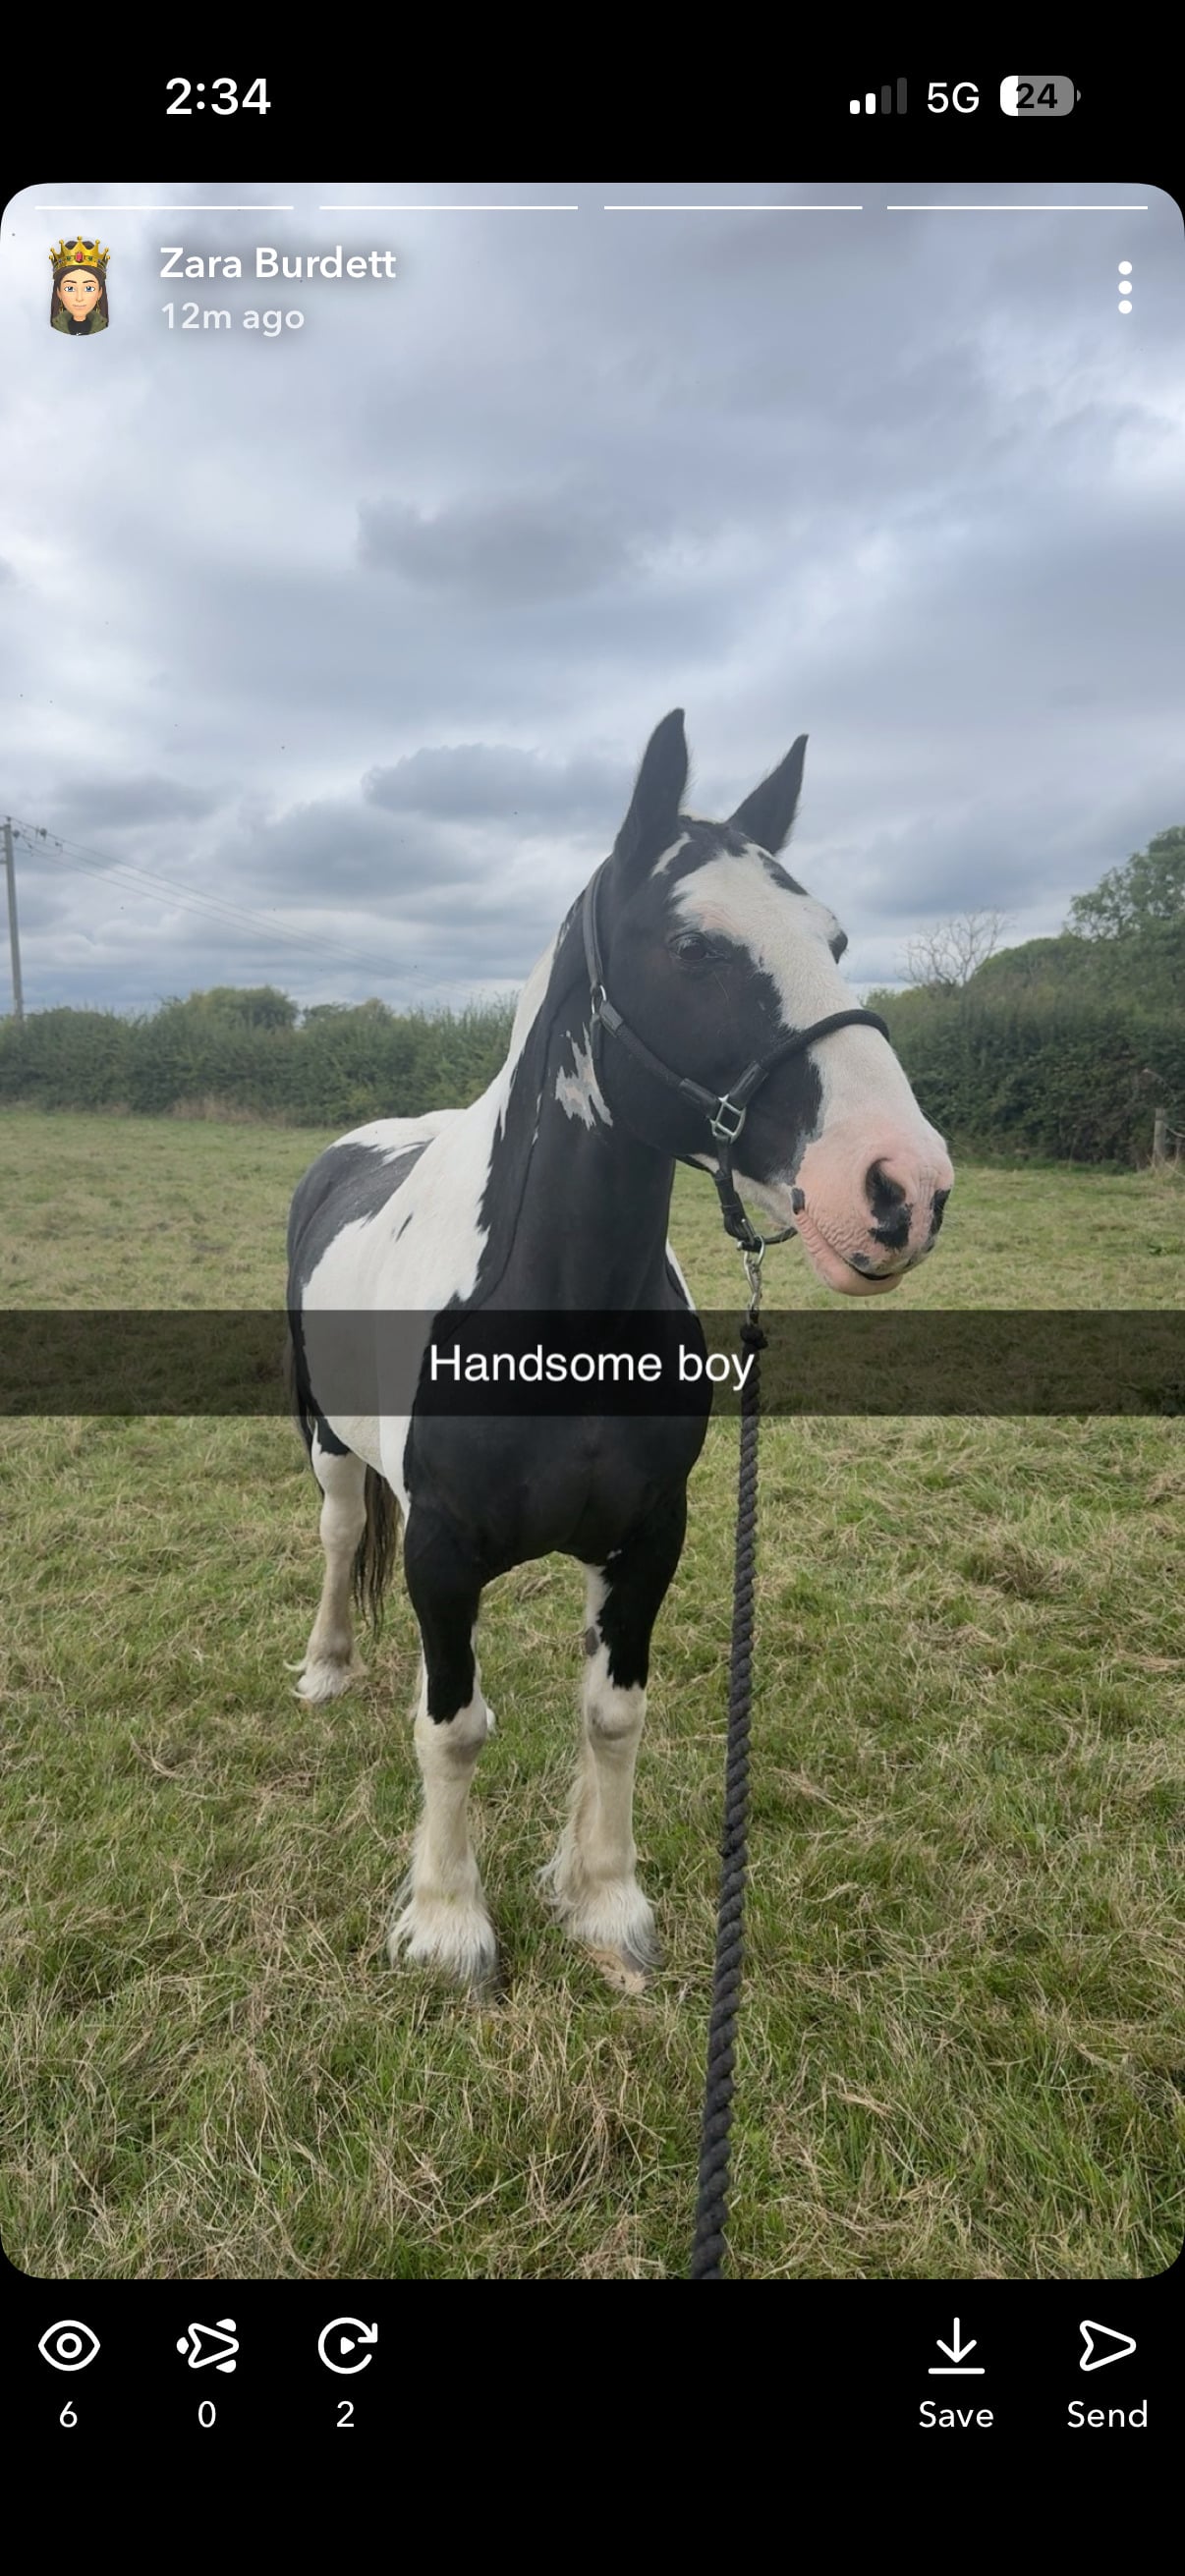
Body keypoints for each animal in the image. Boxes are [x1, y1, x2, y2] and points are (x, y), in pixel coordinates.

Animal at [285, 711, 954, 1993]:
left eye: (836, 939)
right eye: (692, 946)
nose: (901, 1189)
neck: (558, 1318)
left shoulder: (649, 1539)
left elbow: (610, 1715)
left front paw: (603, 1902)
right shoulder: (442, 1548)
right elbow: (451, 1731)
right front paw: (448, 1923)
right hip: (327, 1439)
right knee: (344, 1534)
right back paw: (330, 1663)